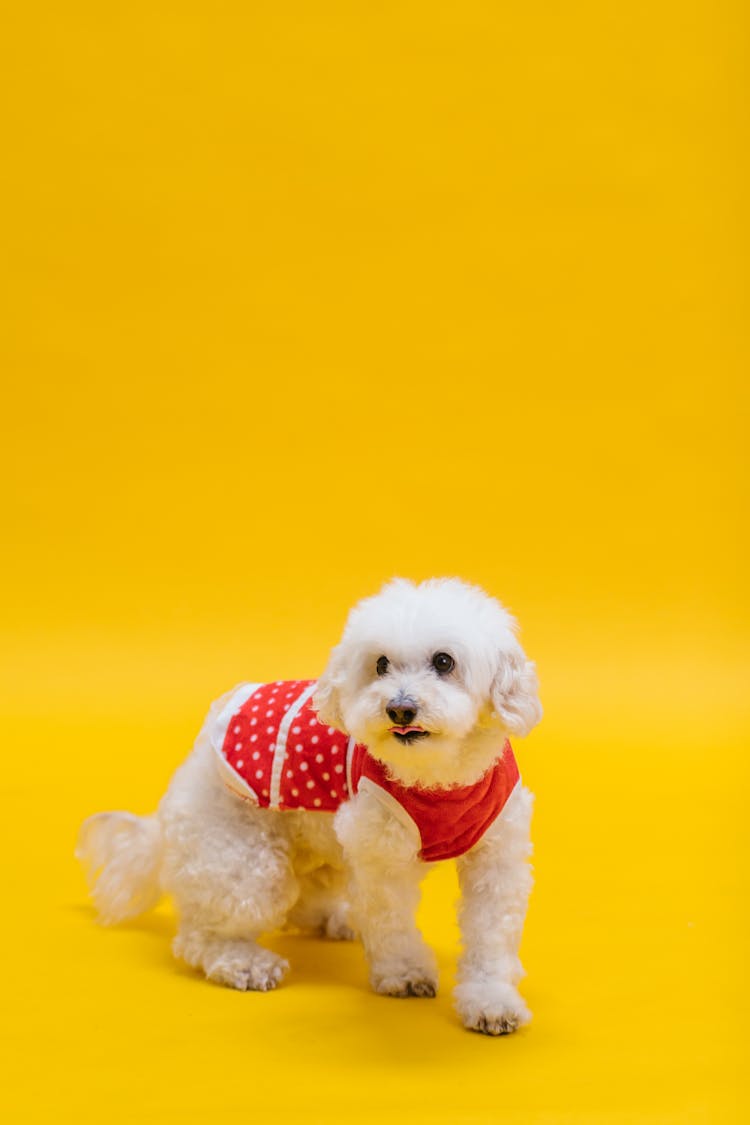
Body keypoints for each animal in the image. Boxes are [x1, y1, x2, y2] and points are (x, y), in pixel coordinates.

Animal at [79, 580, 541, 1035]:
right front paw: (404, 971)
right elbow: (391, 921)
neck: (438, 778)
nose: (399, 708)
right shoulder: (380, 858)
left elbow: (491, 934)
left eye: (444, 661)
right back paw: (244, 961)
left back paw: (334, 918)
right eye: (381, 665)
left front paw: (492, 1000)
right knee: (201, 934)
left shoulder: (496, 859)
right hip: (242, 859)